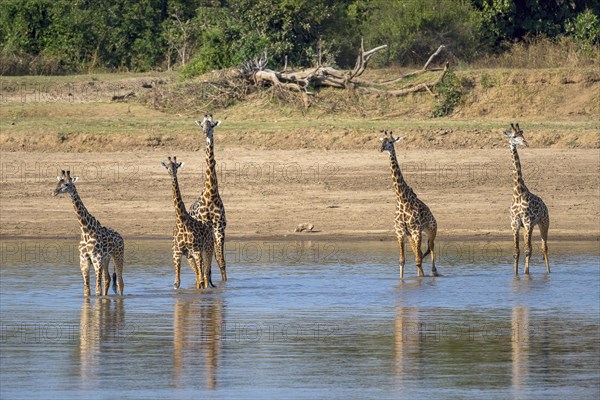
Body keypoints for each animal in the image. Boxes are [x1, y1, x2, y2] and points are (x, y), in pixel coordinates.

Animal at [162, 155, 213, 290]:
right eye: (167, 167)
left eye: (176, 166)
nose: (172, 174)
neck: (181, 221)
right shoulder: (177, 253)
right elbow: (177, 283)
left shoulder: (196, 251)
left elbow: (202, 279)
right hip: (190, 256)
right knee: (198, 276)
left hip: (208, 249)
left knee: (205, 275)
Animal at [380, 131, 440, 278]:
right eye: (381, 142)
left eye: (391, 142)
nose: (381, 149)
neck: (402, 199)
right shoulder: (400, 232)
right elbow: (402, 261)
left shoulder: (416, 230)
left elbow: (418, 260)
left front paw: (421, 278)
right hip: (411, 235)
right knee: (420, 253)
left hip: (431, 229)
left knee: (431, 248)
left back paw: (434, 271)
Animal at [504, 122, 552, 276]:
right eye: (514, 136)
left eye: (522, 134)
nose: (525, 142)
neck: (518, 192)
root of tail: (545, 205)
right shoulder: (515, 223)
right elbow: (516, 252)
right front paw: (516, 275)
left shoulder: (528, 221)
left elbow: (528, 250)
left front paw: (526, 274)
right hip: (527, 227)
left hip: (543, 222)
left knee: (544, 247)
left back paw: (549, 272)